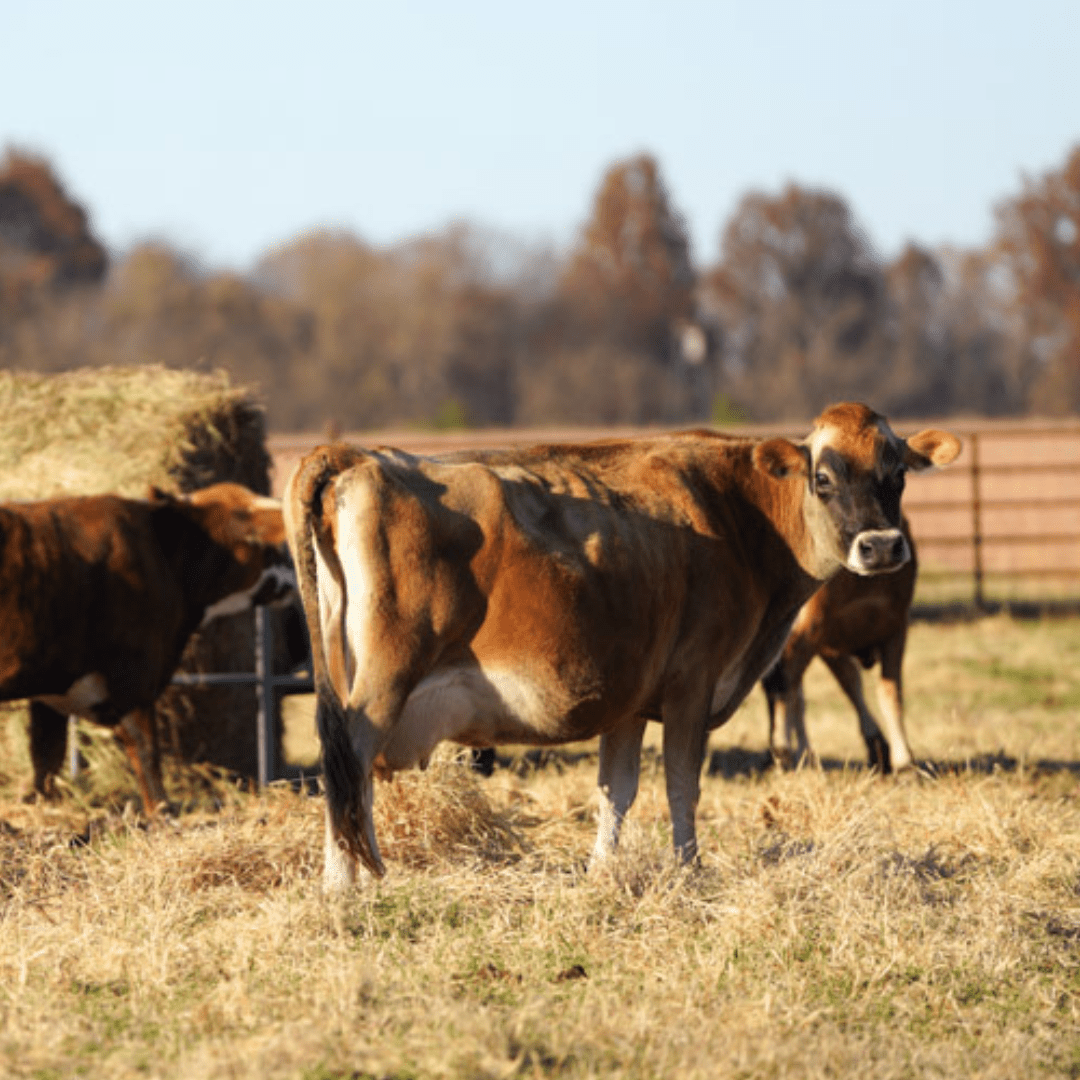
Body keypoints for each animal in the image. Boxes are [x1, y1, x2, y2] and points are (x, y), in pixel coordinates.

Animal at [0, 482, 293, 812]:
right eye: (271, 547)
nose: (292, 575)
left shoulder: (54, 686)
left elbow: (46, 755)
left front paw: (42, 802)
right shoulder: (135, 677)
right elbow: (145, 749)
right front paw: (161, 809)